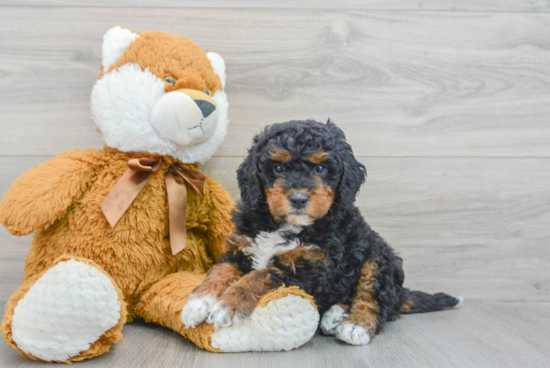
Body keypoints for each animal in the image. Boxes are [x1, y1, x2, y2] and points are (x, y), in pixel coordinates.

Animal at [182, 120, 462, 344]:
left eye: (320, 168)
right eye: (279, 168)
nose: (298, 199)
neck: (286, 225)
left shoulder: (311, 268)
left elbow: (262, 274)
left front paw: (229, 303)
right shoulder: (242, 248)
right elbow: (220, 270)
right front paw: (197, 302)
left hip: (379, 257)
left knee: (374, 295)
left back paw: (355, 324)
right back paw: (333, 316)